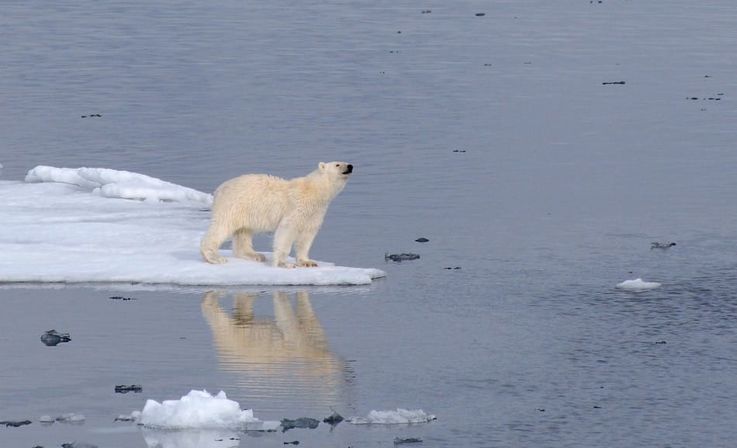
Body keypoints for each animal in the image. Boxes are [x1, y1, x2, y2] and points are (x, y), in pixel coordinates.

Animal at [200, 161, 352, 266]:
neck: (314, 191)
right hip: (233, 205)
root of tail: (219, 189)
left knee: (244, 232)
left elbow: (306, 236)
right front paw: (283, 263)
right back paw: (214, 257)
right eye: (338, 164)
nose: (350, 166)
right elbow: (286, 231)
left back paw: (254, 255)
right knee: (222, 227)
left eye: (345, 162)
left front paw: (308, 262)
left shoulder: (315, 213)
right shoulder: (296, 207)